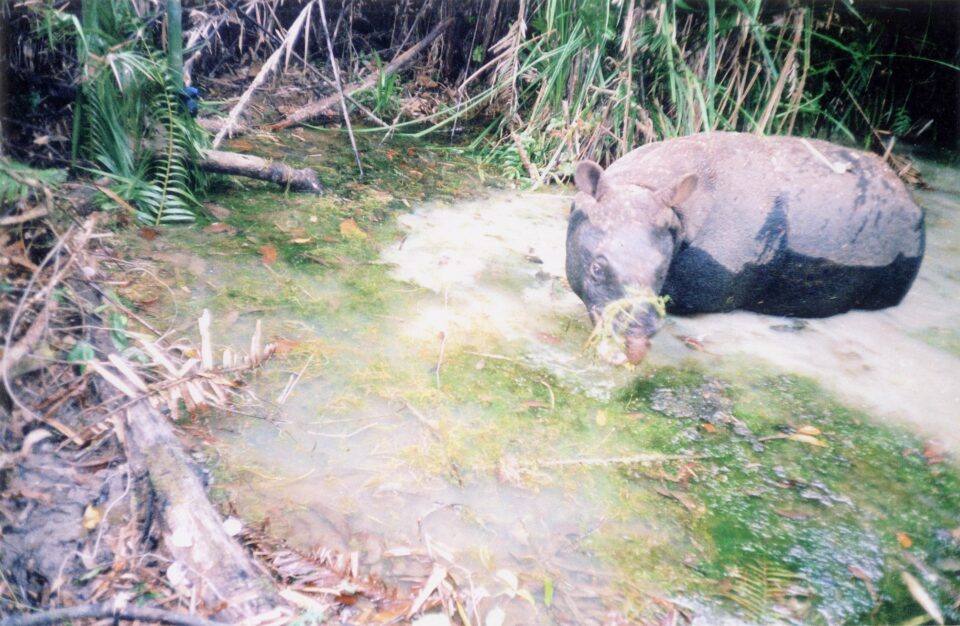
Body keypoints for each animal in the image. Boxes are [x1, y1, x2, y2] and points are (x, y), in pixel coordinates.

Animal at [565, 132, 925, 365]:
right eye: (596, 269)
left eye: (660, 272)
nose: (639, 333)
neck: (643, 185)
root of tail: (912, 200)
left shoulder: (706, 286)